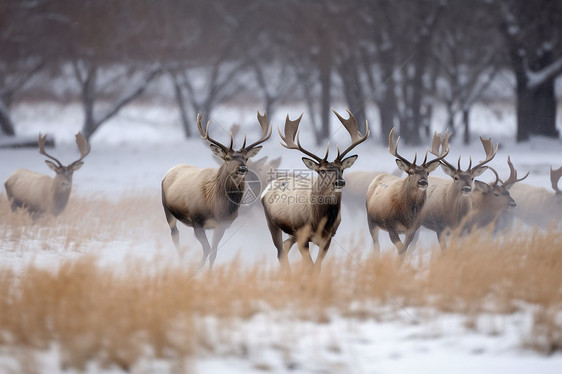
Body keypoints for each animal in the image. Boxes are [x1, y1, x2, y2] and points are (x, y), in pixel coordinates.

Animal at [160, 112, 272, 268]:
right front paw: (197, 269)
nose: (242, 168)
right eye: (227, 158)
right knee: (175, 234)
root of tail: (171, 169)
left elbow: (213, 252)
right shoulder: (196, 220)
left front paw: (209, 272)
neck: (217, 207)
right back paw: (181, 260)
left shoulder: (221, 225)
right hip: (166, 208)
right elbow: (207, 249)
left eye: (246, 158)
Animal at [262, 108, 370, 272]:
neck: (319, 222)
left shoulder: (328, 238)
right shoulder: (302, 234)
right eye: (322, 171)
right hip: (272, 222)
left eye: (342, 169)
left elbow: (317, 267)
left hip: (292, 233)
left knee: (285, 247)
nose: (340, 182)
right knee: (280, 251)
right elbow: (311, 267)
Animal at [366, 127, 448, 258]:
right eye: (411, 172)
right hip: (371, 220)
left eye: (427, 173)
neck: (407, 216)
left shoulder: (413, 230)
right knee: (376, 245)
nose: (423, 182)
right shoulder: (390, 225)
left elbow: (405, 249)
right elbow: (401, 249)